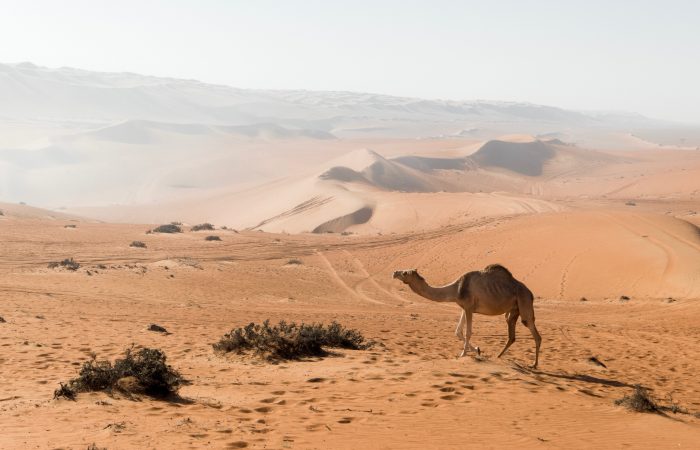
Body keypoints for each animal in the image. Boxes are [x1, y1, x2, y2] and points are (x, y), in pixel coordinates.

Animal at [392, 266, 544, 368]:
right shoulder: (464, 307)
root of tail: (531, 293)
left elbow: (467, 332)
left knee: (535, 333)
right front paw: (477, 350)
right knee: (512, 335)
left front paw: (463, 354)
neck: (456, 289)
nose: (394, 272)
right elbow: (458, 331)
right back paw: (498, 356)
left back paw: (534, 364)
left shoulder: (469, 307)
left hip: (524, 303)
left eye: (404, 272)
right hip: (513, 310)